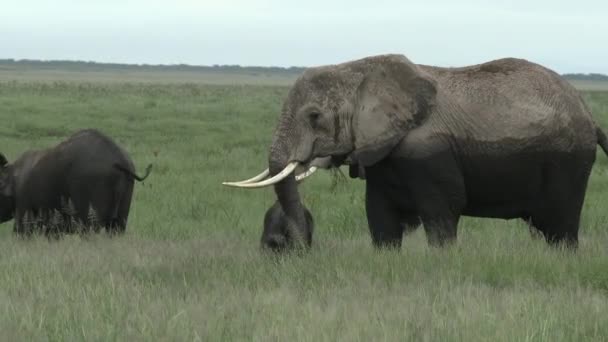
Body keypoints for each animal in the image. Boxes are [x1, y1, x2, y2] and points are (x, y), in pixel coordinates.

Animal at [224, 54, 608, 251]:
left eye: (314, 117)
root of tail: (590, 115)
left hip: (568, 161)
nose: (289, 245)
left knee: (560, 227)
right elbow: (380, 217)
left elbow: (443, 211)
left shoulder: (429, 152)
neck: (360, 70)